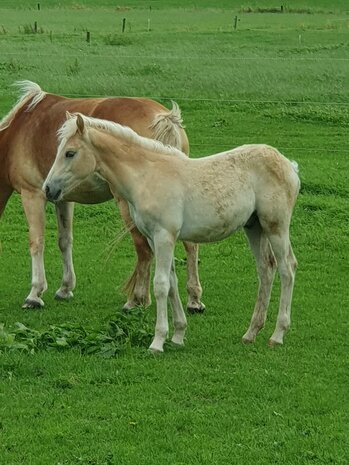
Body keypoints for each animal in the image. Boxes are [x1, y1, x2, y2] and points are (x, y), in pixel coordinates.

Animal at [0, 80, 204, 312]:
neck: (16, 132)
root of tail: (164, 118)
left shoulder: (32, 195)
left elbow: (36, 242)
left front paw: (34, 294)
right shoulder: (62, 199)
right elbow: (65, 240)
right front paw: (65, 288)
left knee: (143, 249)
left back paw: (137, 299)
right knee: (190, 245)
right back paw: (194, 299)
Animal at [42, 113, 300, 352]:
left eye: (70, 153)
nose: (48, 189)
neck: (146, 176)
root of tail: (289, 165)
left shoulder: (164, 236)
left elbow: (161, 285)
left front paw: (157, 341)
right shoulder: (153, 238)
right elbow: (173, 283)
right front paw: (177, 335)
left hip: (276, 227)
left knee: (287, 269)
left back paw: (277, 334)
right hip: (254, 227)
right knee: (266, 269)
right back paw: (251, 333)